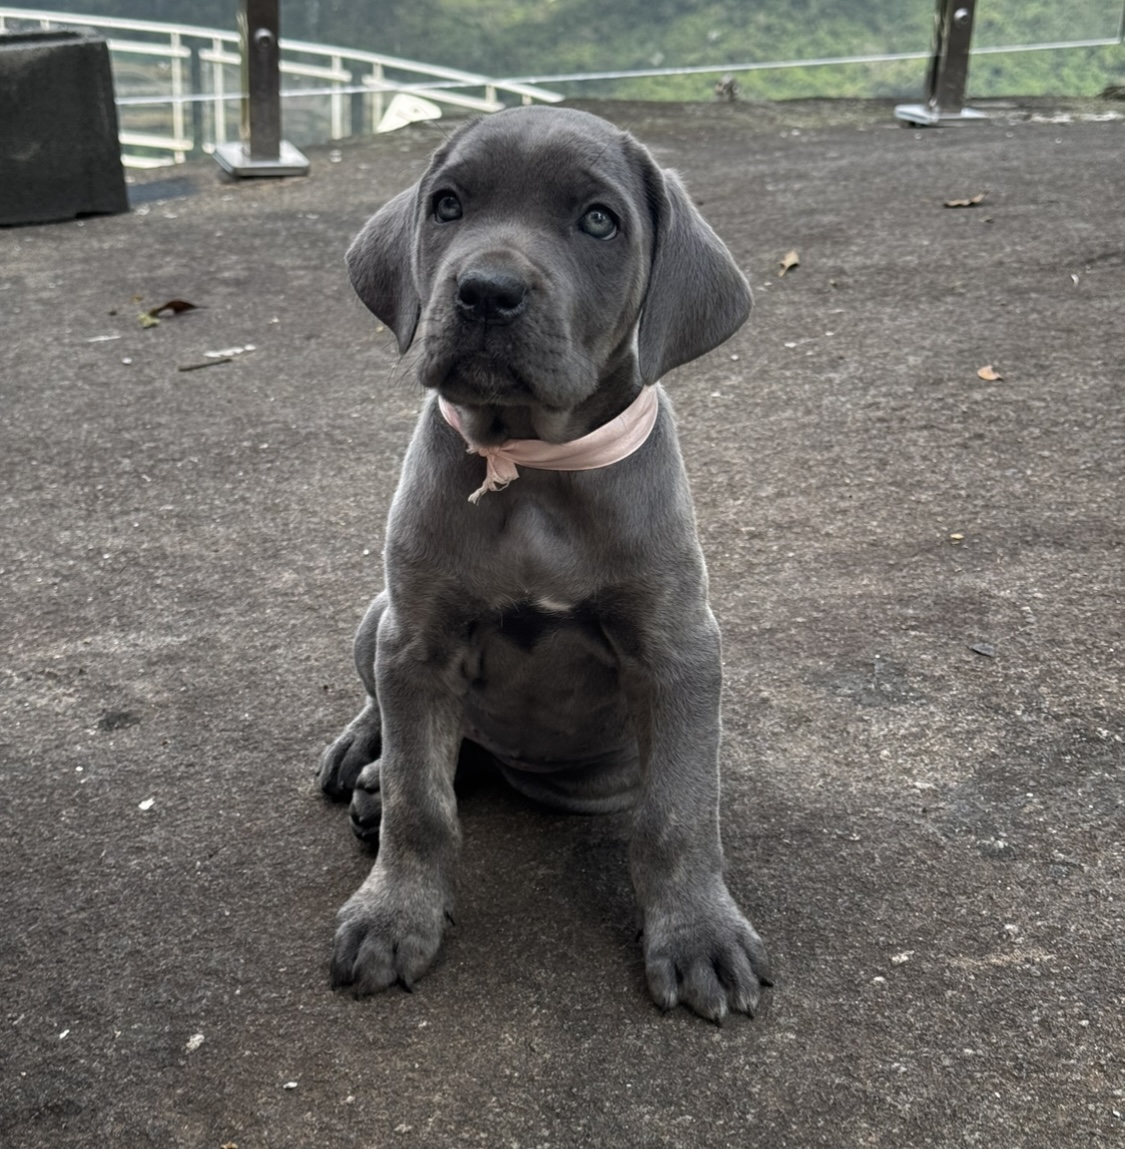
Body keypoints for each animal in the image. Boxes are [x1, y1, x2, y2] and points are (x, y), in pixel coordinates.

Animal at [321, 105, 767, 1024]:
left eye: (598, 220)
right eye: (447, 205)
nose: (485, 291)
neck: (531, 467)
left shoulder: (678, 651)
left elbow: (676, 813)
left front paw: (698, 933)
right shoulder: (415, 643)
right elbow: (422, 803)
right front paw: (393, 914)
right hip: (376, 615)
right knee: (407, 734)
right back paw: (364, 758)